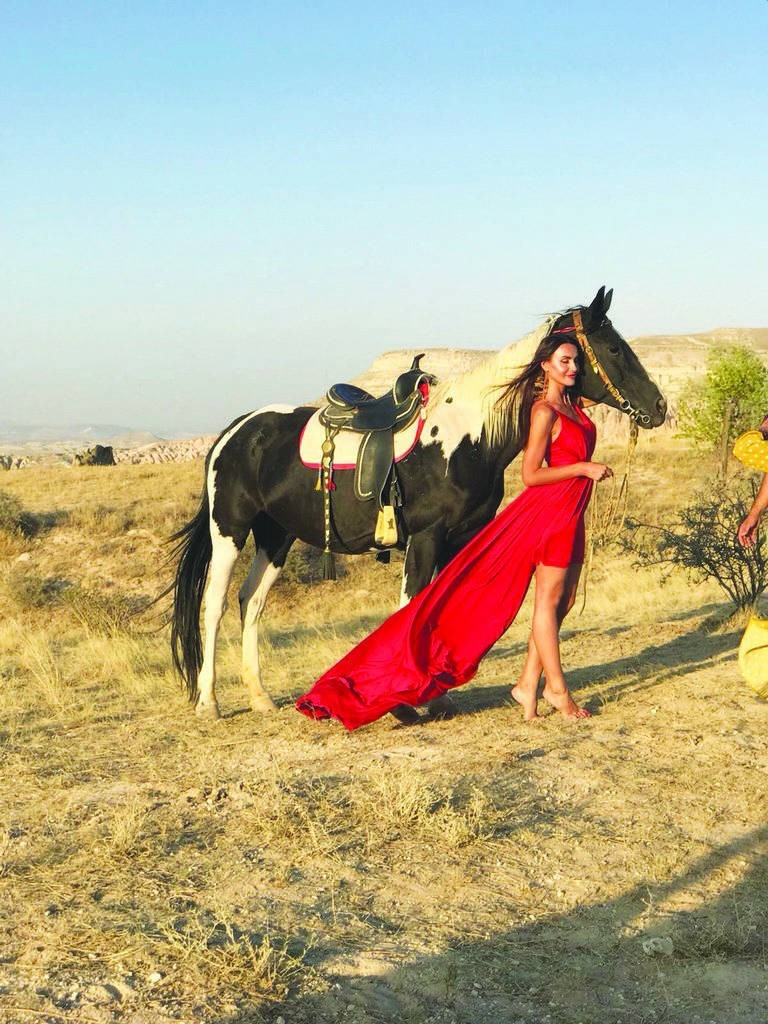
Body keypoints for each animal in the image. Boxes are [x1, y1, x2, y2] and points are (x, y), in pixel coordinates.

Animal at [170, 287, 666, 720]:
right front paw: (404, 704)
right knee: (214, 605)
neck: (467, 436)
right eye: (614, 348)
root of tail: (237, 429)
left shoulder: (457, 538)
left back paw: (259, 697)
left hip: (277, 535)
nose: (660, 407)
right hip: (230, 531)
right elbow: (411, 607)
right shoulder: (426, 537)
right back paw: (209, 702)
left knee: (251, 602)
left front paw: (434, 697)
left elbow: (433, 610)